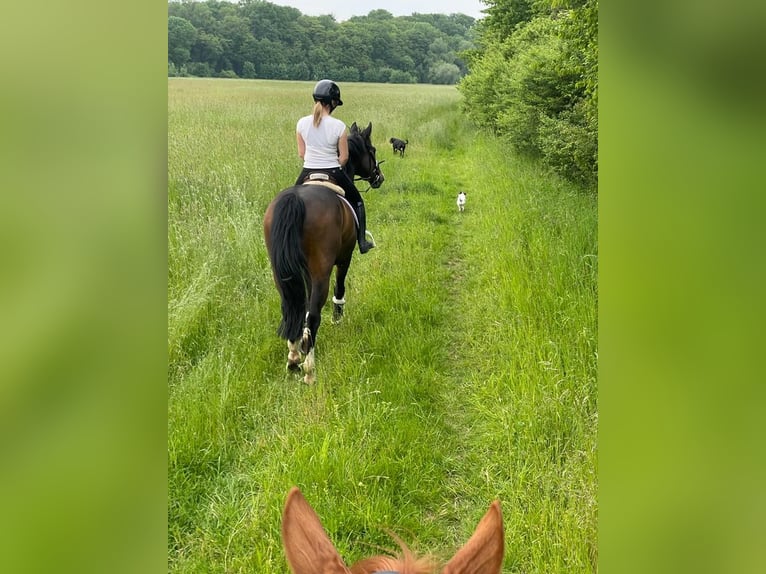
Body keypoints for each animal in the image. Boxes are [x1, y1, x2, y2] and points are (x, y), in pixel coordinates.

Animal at [266, 122, 384, 384]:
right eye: (371, 150)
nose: (379, 178)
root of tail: (295, 201)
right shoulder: (344, 258)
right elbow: (340, 287)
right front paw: (338, 316)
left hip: (282, 273)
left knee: (292, 309)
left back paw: (293, 358)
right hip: (322, 270)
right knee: (313, 316)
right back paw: (309, 371)